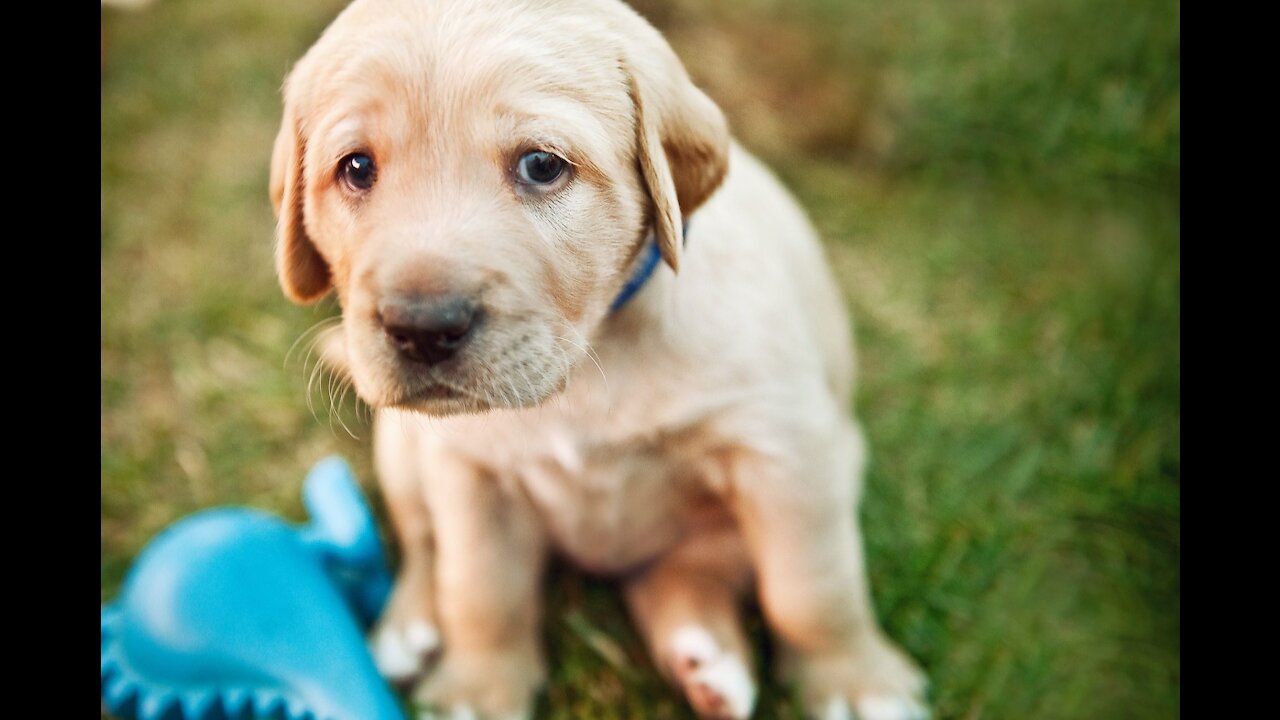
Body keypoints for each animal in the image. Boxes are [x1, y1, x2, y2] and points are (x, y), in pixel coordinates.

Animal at [272, 1, 931, 717]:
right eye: (356, 169)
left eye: (540, 165)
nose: (421, 328)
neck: (590, 356)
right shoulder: (470, 475)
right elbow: (479, 590)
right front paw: (478, 689)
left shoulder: (787, 451)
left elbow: (810, 588)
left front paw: (854, 682)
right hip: (404, 444)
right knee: (424, 544)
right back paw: (409, 624)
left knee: (688, 573)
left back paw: (706, 659)